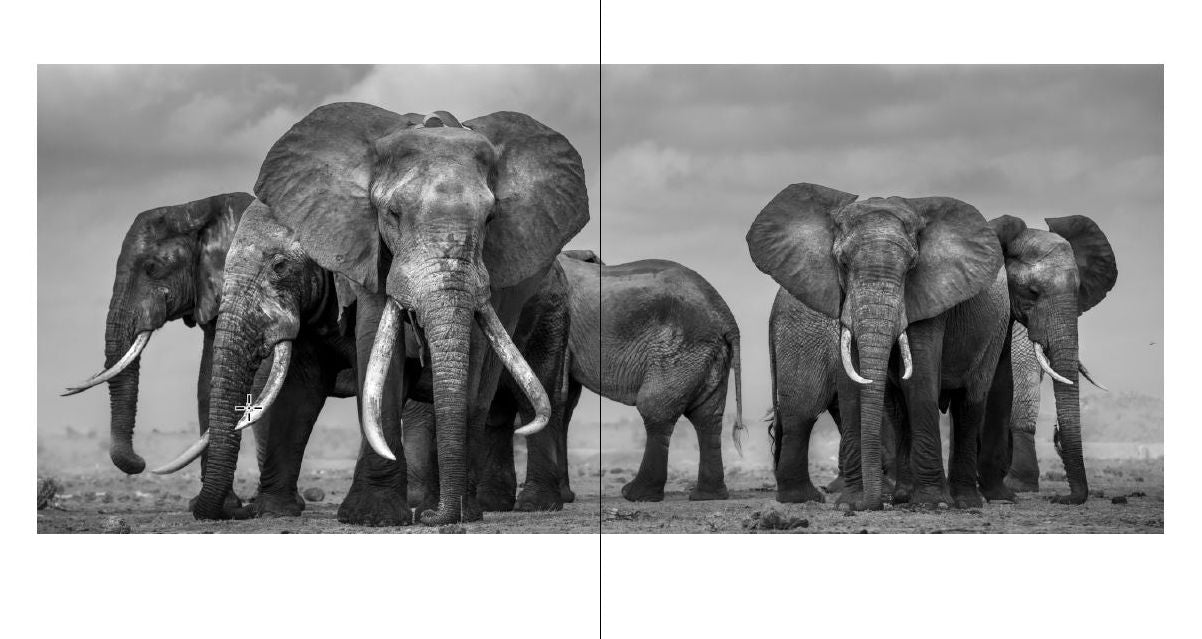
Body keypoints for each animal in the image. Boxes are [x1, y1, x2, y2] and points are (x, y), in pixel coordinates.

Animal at [187, 104, 587, 525]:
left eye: (491, 219)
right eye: (392, 214)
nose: (232, 512)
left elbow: (470, 362)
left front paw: (431, 515)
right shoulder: (366, 255)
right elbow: (308, 388)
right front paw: (362, 516)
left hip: (551, 309)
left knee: (531, 398)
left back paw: (518, 505)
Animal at [557, 249, 746, 502]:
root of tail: (727, 318)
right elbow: (564, 402)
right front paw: (564, 497)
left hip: (679, 351)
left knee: (655, 409)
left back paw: (636, 494)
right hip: (710, 355)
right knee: (707, 417)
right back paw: (707, 496)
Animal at [747, 183, 1009, 510]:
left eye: (912, 266)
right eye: (842, 263)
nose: (869, 504)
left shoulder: (930, 297)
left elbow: (920, 381)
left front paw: (932, 504)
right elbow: (852, 382)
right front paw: (850, 503)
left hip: (994, 332)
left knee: (968, 402)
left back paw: (961, 502)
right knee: (808, 409)